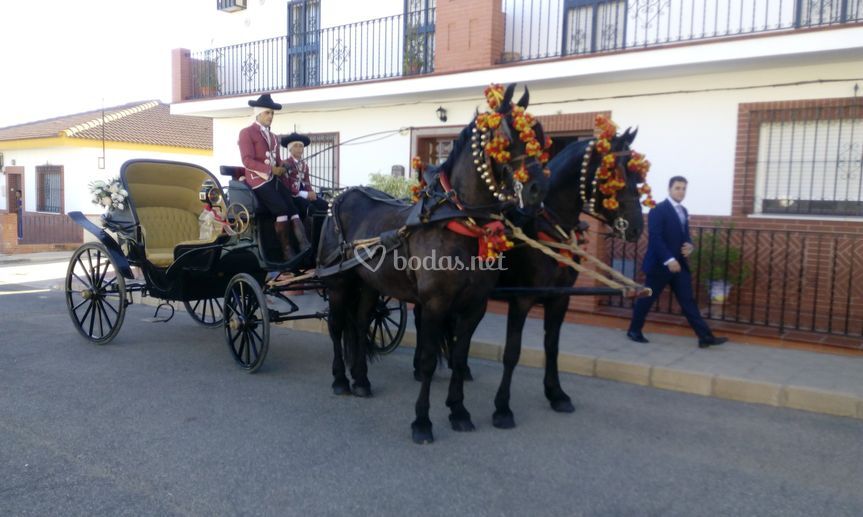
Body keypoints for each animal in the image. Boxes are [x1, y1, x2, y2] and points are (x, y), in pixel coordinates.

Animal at [318, 82, 552, 442]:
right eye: (504, 135)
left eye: (539, 134)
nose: (539, 188)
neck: (458, 221)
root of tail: (341, 197)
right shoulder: (434, 304)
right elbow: (428, 360)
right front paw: (422, 421)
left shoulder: (474, 305)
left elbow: (458, 356)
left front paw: (459, 411)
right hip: (339, 282)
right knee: (336, 325)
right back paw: (341, 379)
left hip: (369, 284)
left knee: (358, 323)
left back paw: (361, 380)